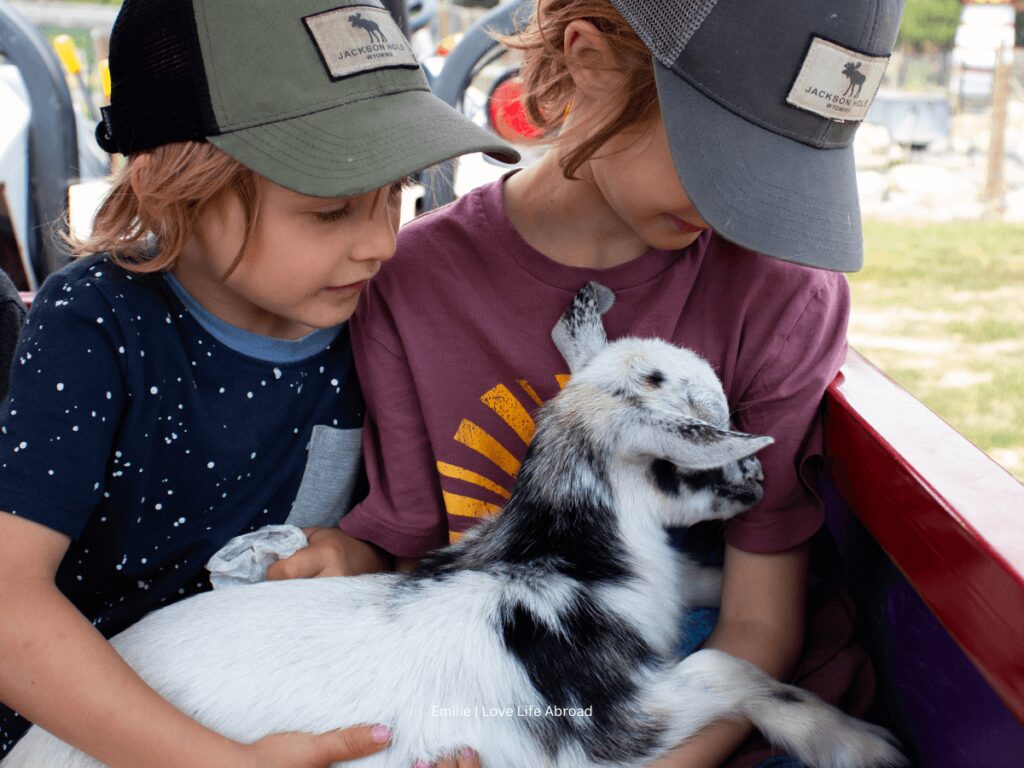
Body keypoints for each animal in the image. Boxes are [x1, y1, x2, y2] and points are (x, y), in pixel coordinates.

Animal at [6, 284, 905, 768]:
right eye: (695, 442)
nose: (761, 487)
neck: (558, 564)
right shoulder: (610, 727)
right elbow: (733, 668)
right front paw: (856, 740)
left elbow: (698, 587)